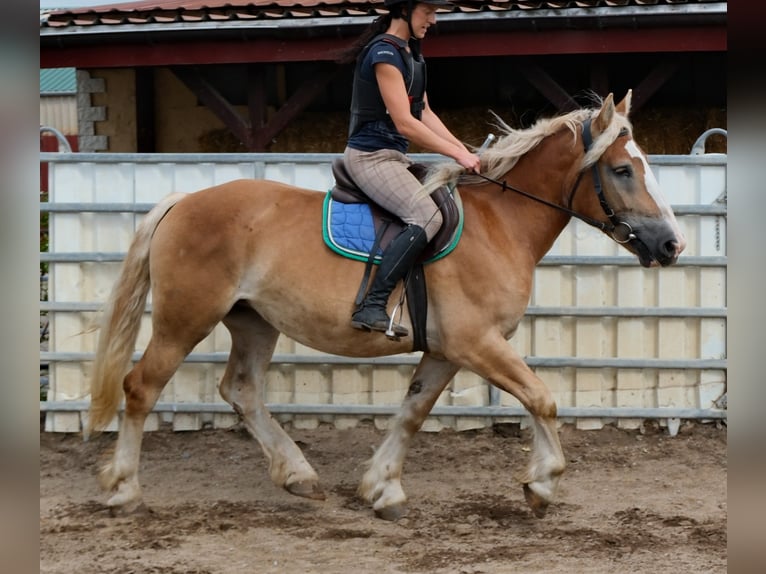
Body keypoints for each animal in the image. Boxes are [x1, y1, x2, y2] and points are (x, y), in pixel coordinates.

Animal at [86, 91, 685, 521]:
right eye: (623, 170)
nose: (671, 246)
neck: (500, 223)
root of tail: (182, 201)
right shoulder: (477, 343)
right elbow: (542, 399)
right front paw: (540, 484)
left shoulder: (446, 351)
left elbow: (412, 412)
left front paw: (383, 489)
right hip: (185, 318)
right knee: (141, 387)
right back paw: (124, 491)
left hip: (253, 321)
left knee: (241, 390)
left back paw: (299, 477)